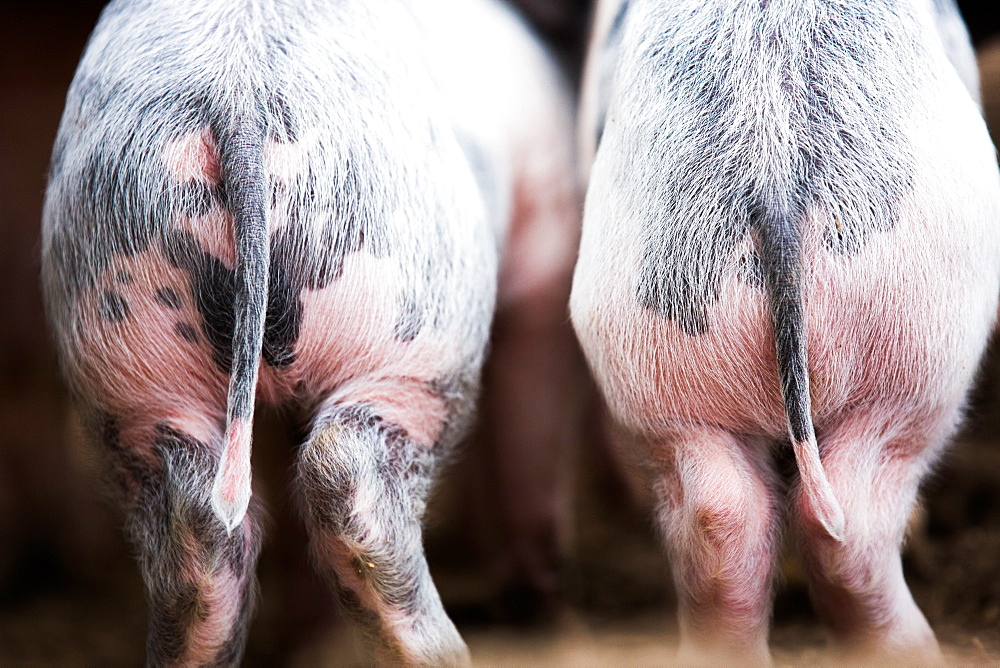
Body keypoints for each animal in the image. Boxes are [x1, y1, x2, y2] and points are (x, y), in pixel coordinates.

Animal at [41, 0, 580, 664]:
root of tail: (238, 104)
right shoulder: (551, 230)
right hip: (412, 330)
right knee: (347, 474)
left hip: (120, 342)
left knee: (195, 526)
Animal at [572, 0, 1000, 660]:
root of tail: (771, 167)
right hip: (921, 348)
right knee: (854, 521)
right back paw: (919, 648)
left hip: (647, 340)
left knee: (722, 517)